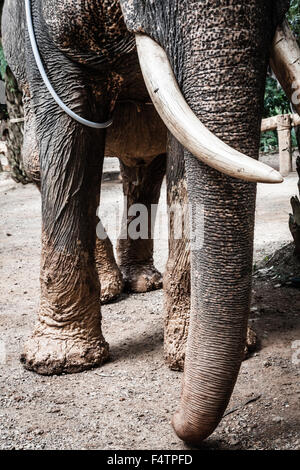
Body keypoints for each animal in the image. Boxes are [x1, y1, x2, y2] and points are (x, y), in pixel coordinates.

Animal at [1, 0, 298, 444]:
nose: (175, 424)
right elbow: (67, 133)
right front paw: (59, 361)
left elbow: (183, 144)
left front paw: (187, 354)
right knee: (39, 162)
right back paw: (111, 289)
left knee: (144, 168)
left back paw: (142, 282)